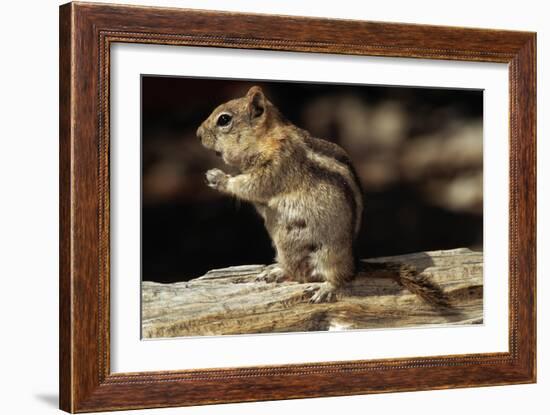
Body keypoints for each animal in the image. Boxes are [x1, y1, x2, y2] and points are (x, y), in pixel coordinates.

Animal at [196, 86, 364, 304]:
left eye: (224, 119)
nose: (198, 134)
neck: (265, 138)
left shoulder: (277, 164)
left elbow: (252, 185)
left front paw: (218, 177)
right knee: (293, 271)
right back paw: (275, 272)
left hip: (331, 253)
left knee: (340, 276)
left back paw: (326, 288)